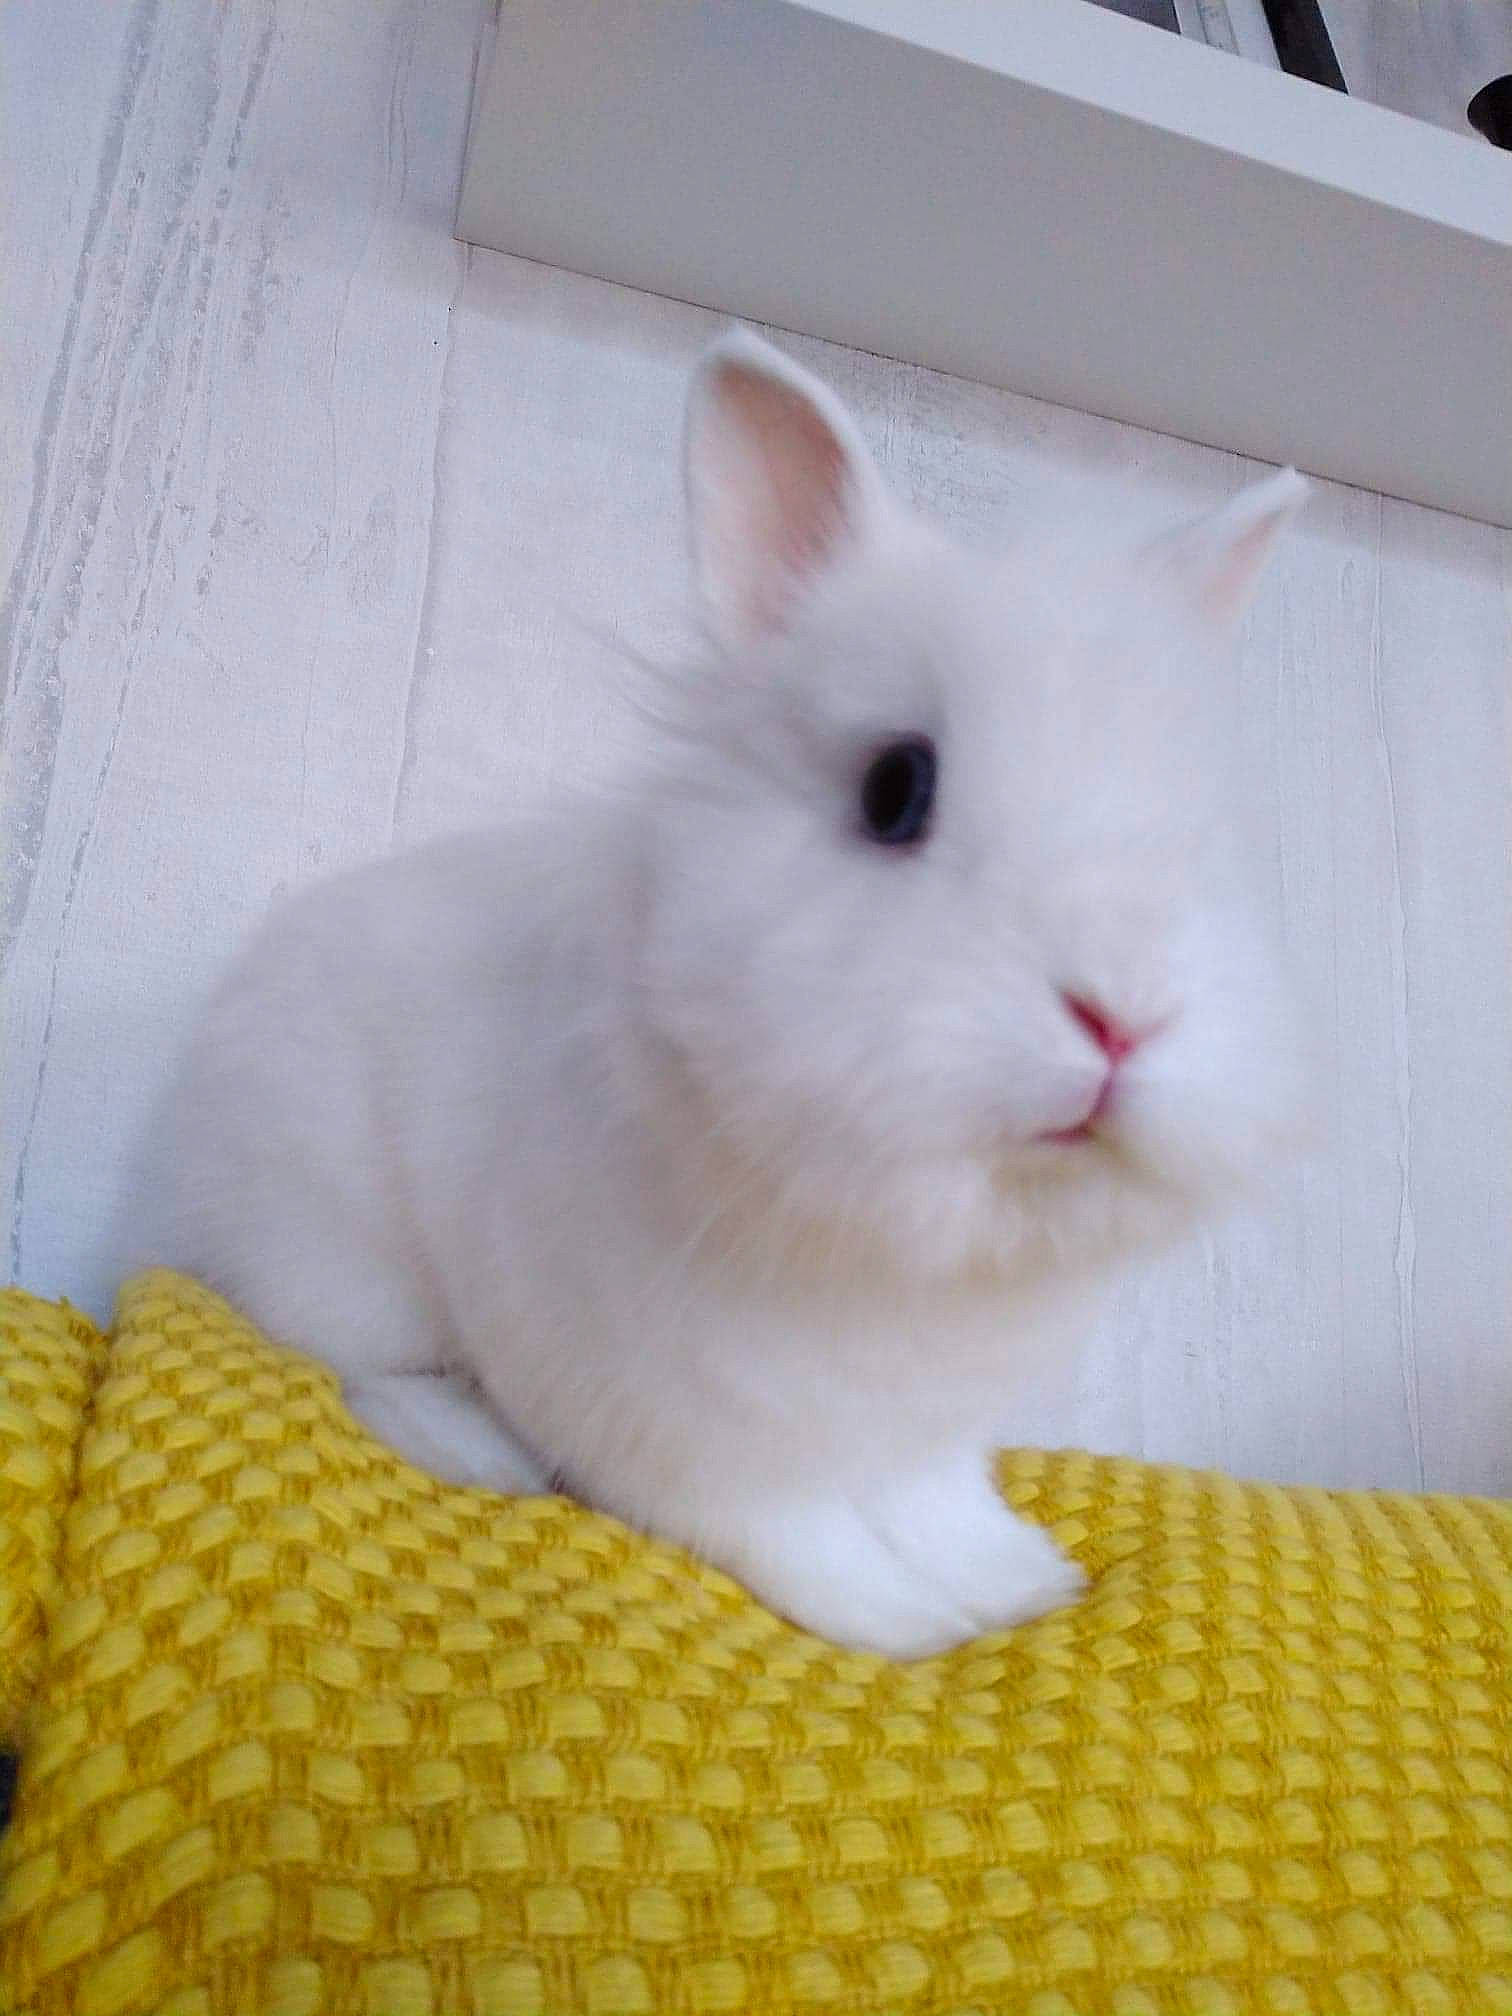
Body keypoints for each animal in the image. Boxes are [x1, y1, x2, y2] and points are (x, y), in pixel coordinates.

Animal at [139, 331, 1309, 1659]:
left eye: (1202, 834)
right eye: (896, 789)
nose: (1122, 1017)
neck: (911, 1255)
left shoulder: (927, 1432)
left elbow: (937, 1503)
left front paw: (1015, 1586)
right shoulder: (694, 1423)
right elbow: (791, 1533)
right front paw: (905, 1622)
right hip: (344, 1262)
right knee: (361, 1366)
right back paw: (479, 1451)